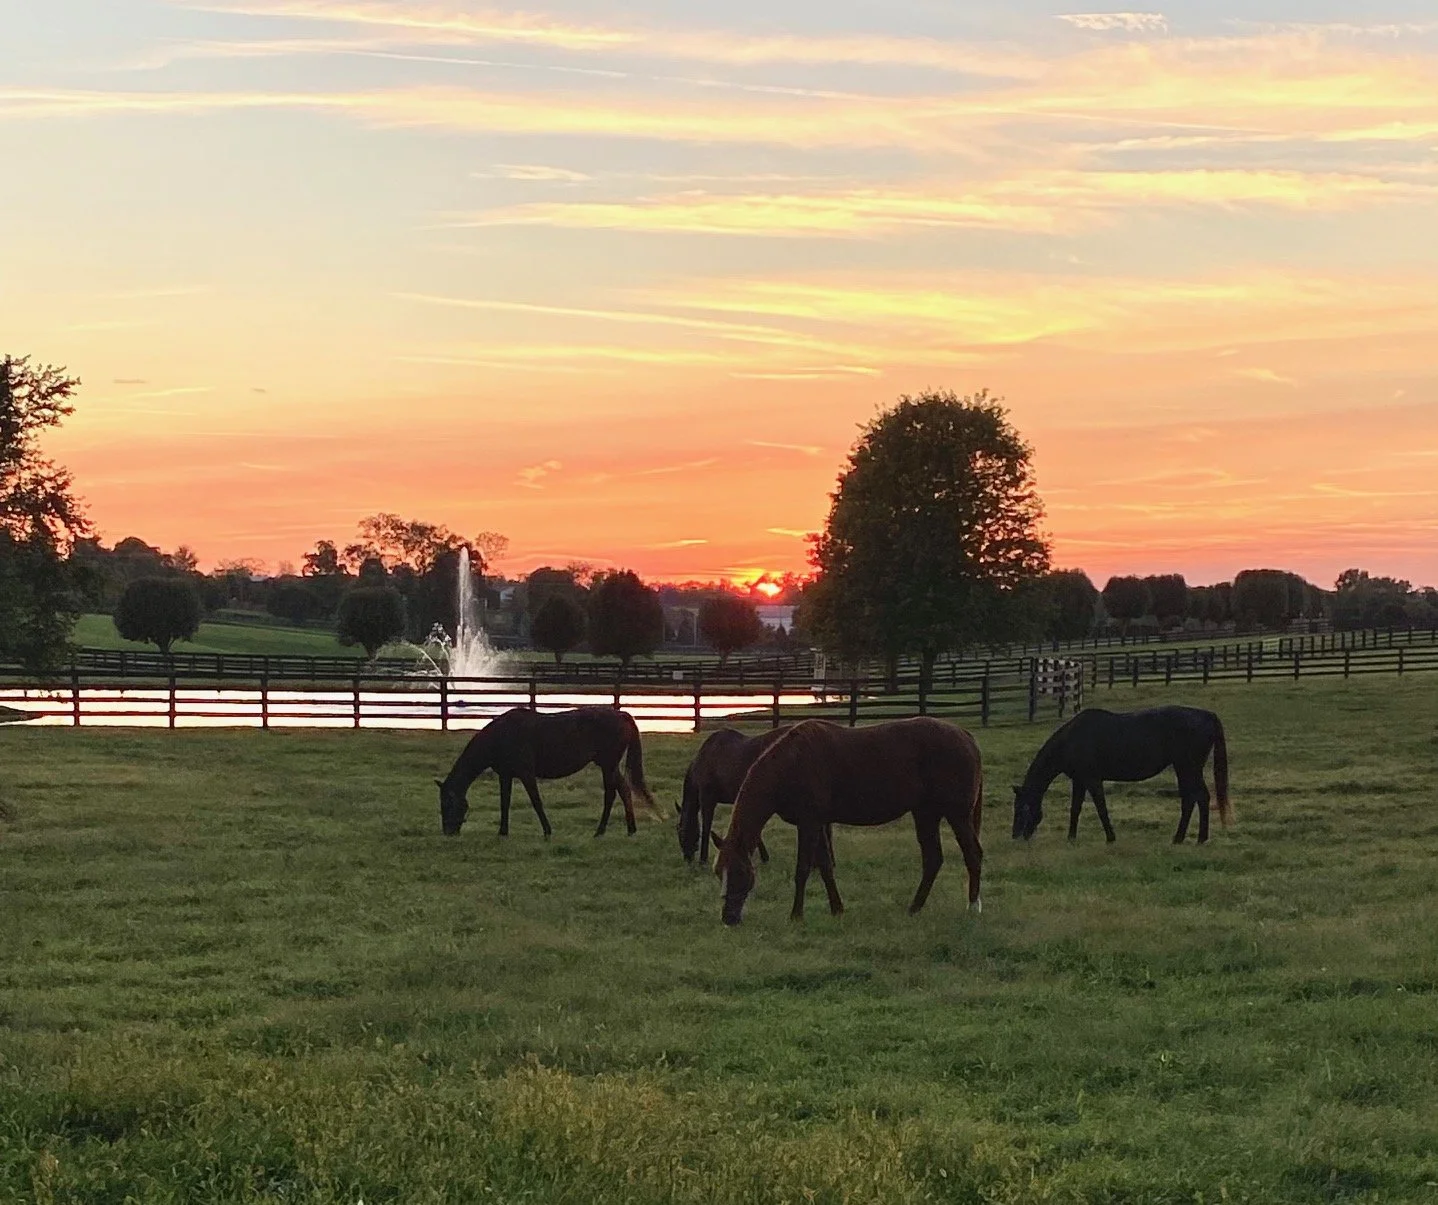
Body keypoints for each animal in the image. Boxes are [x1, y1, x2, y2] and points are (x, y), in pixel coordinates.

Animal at [435, 706, 659, 838]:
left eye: (447, 804)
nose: (448, 832)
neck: (501, 735)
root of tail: (622, 714)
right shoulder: (506, 776)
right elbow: (504, 803)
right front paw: (503, 832)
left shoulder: (526, 774)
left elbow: (536, 802)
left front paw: (547, 831)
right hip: (609, 765)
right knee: (624, 790)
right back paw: (630, 829)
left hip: (608, 765)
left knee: (612, 794)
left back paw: (600, 831)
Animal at [713, 717, 984, 926]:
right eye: (718, 873)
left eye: (739, 872)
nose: (728, 919)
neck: (793, 763)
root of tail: (965, 735)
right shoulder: (819, 823)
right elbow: (825, 867)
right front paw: (837, 909)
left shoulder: (809, 823)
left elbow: (803, 869)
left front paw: (796, 916)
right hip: (926, 814)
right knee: (933, 859)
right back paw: (914, 909)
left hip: (957, 814)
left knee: (972, 854)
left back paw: (972, 907)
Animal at [1010, 705, 1231, 845]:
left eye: (1021, 809)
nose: (1016, 836)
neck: (1071, 741)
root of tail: (1208, 715)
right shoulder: (1079, 781)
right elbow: (1075, 809)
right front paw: (1071, 838)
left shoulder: (1092, 779)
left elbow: (1101, 808)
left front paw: (1110, 838)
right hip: (1185, 768)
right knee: (1195, 799)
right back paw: (1190, 838)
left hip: (1187, 767)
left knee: (1196, 798)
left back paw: (1189, 839)